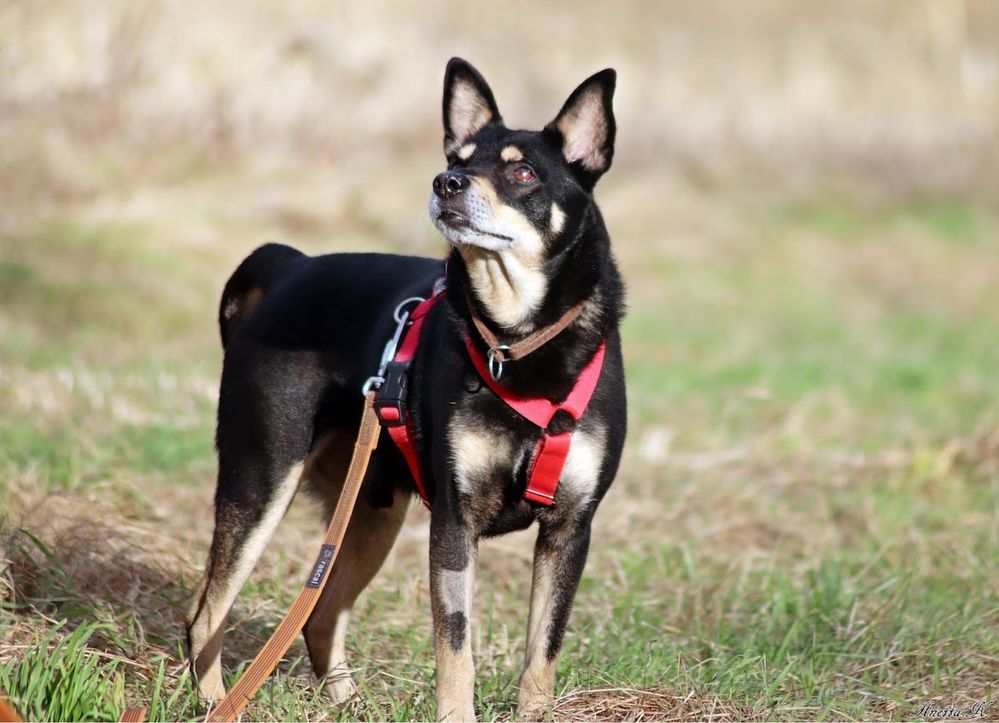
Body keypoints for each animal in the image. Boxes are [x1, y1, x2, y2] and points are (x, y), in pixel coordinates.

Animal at [187, 58, 624, 723]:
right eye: (459, 158)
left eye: (522, 171)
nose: (447, 183)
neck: (515, 344)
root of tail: (291, 266)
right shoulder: (454, 521)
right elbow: (456, 647)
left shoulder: (571, 527)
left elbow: (541, 655)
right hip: (260, 477)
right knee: (205, 615)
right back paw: (216, 701)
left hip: (372, 507)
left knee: (321, 614)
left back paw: (346, 703)